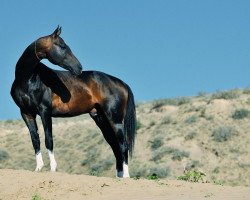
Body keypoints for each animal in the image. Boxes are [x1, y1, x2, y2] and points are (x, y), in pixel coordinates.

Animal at [11, 27, 137, 178]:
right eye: (63, 46)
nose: (79, 67)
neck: (27, 78)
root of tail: (122, 83)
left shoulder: (44, 111)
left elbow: (48, 139)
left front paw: (53, 168)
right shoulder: (26, 113)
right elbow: (35, 140)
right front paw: (38, 168)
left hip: (115, 120)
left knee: (123, 145)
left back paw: (126, 176)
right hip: (101, 119)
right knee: (115, 146)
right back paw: (119, 176)